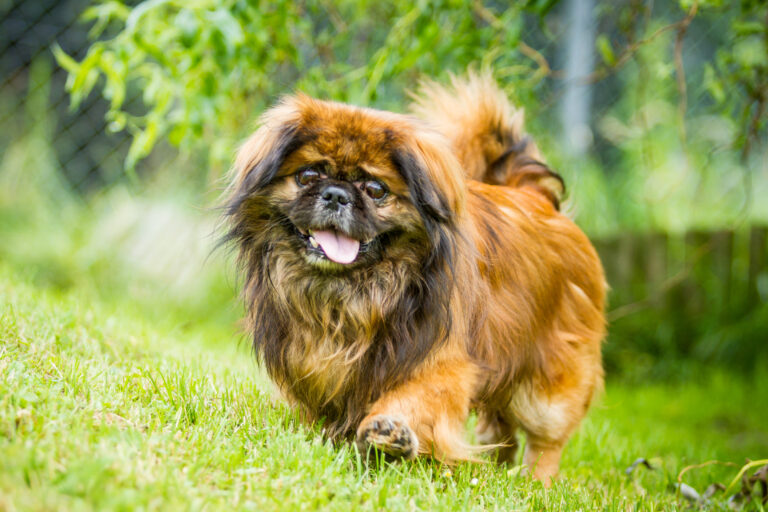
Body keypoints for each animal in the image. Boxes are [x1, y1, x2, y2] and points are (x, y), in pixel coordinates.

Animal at [224, 73, 608, 484]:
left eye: (375, 190)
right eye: (308, 175)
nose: (336, 194)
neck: (354, 293)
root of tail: (535, 196)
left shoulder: (437, 361)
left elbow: (414, 399)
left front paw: (389, 433)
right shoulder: (307, 360)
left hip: (548, 389)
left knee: (545, 440)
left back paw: (535, 482)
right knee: (499, 427)